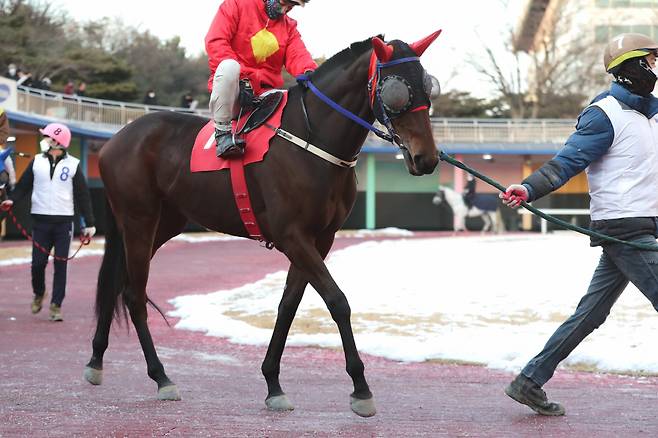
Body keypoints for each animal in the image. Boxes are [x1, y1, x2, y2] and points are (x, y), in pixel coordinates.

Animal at [82, 31, 440, 418]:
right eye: (397, 91)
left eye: (428, 86)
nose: (427, 158)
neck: (310, 141)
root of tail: (115, 140)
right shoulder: (293, 236)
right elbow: (337, 301)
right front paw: (361, 388)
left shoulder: (319, 239)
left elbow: (288, 306)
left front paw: (273, 383)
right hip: (139, 219)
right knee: (134, 295)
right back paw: (161, 377)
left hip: (163, 224)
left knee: (118, 283)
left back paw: (96, 360)